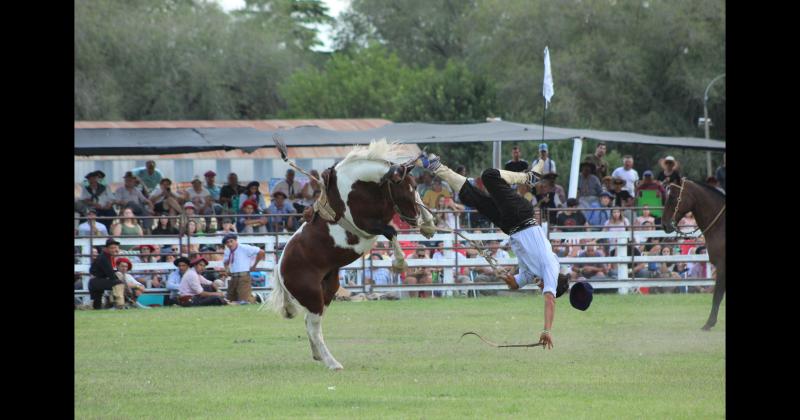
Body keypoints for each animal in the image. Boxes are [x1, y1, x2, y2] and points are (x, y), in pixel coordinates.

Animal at [268, 140, 432, 368]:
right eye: (405, 188)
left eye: (415, 186)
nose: (414, 219)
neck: (357, 187)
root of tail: (280, 267)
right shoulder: (368, 225)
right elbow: (391, 231)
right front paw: (400, 263)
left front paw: (429, 224)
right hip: (312, 295)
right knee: (314, 327)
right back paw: (332, 363)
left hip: (327, 291)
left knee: (310, 323)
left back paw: (319, 356)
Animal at [660, 176, 728, 328]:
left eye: (672, 197)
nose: (664, 224)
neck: (721, 225)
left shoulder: (722, 266)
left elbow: (717, 295)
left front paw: (709, 324)